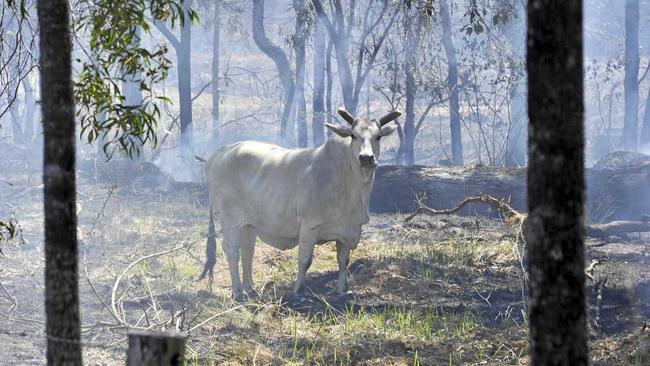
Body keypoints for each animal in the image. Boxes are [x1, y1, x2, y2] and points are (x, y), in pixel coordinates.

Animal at [197, 107, 400, 298]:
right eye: (353, 135)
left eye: (378, 136)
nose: (366, 158)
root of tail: (218, 154)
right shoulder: (309, 226)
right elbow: (305, 260)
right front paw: (298, 290)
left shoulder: (346, 231)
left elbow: (343, 262)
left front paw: (343, 290)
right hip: (230, 219)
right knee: (232, 251)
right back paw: (238, 291)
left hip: (249, 224)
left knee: (248, 252)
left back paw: (250, 289)